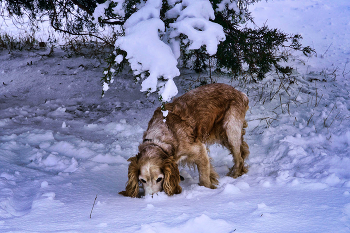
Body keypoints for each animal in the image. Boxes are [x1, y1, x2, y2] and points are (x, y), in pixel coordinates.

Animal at [119, 83, 249, 198]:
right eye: (142, 180)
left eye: (159, 179)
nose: (152, 197)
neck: (160, 139)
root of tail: (239, 92)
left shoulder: (200, 151)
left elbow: (204, 179)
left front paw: (206, 191)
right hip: (223, 136)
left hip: (231, 131)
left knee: (239, 159)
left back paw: (234, 176)